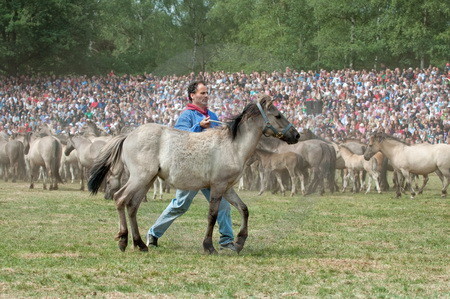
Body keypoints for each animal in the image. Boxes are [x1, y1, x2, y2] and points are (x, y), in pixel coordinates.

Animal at [86, 96, 300, 255]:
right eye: (278, 115)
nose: (296, 135)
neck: (232, 146)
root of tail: (128, 136)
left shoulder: (227, 188)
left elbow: (243, 209)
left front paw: (238, 242)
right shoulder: (218, 186)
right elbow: (212, 215)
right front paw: (209, 246)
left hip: (147, 180)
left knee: (132, 206)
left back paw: (141, 244)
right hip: (140, 178)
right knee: (120, 198)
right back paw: (123, 240)